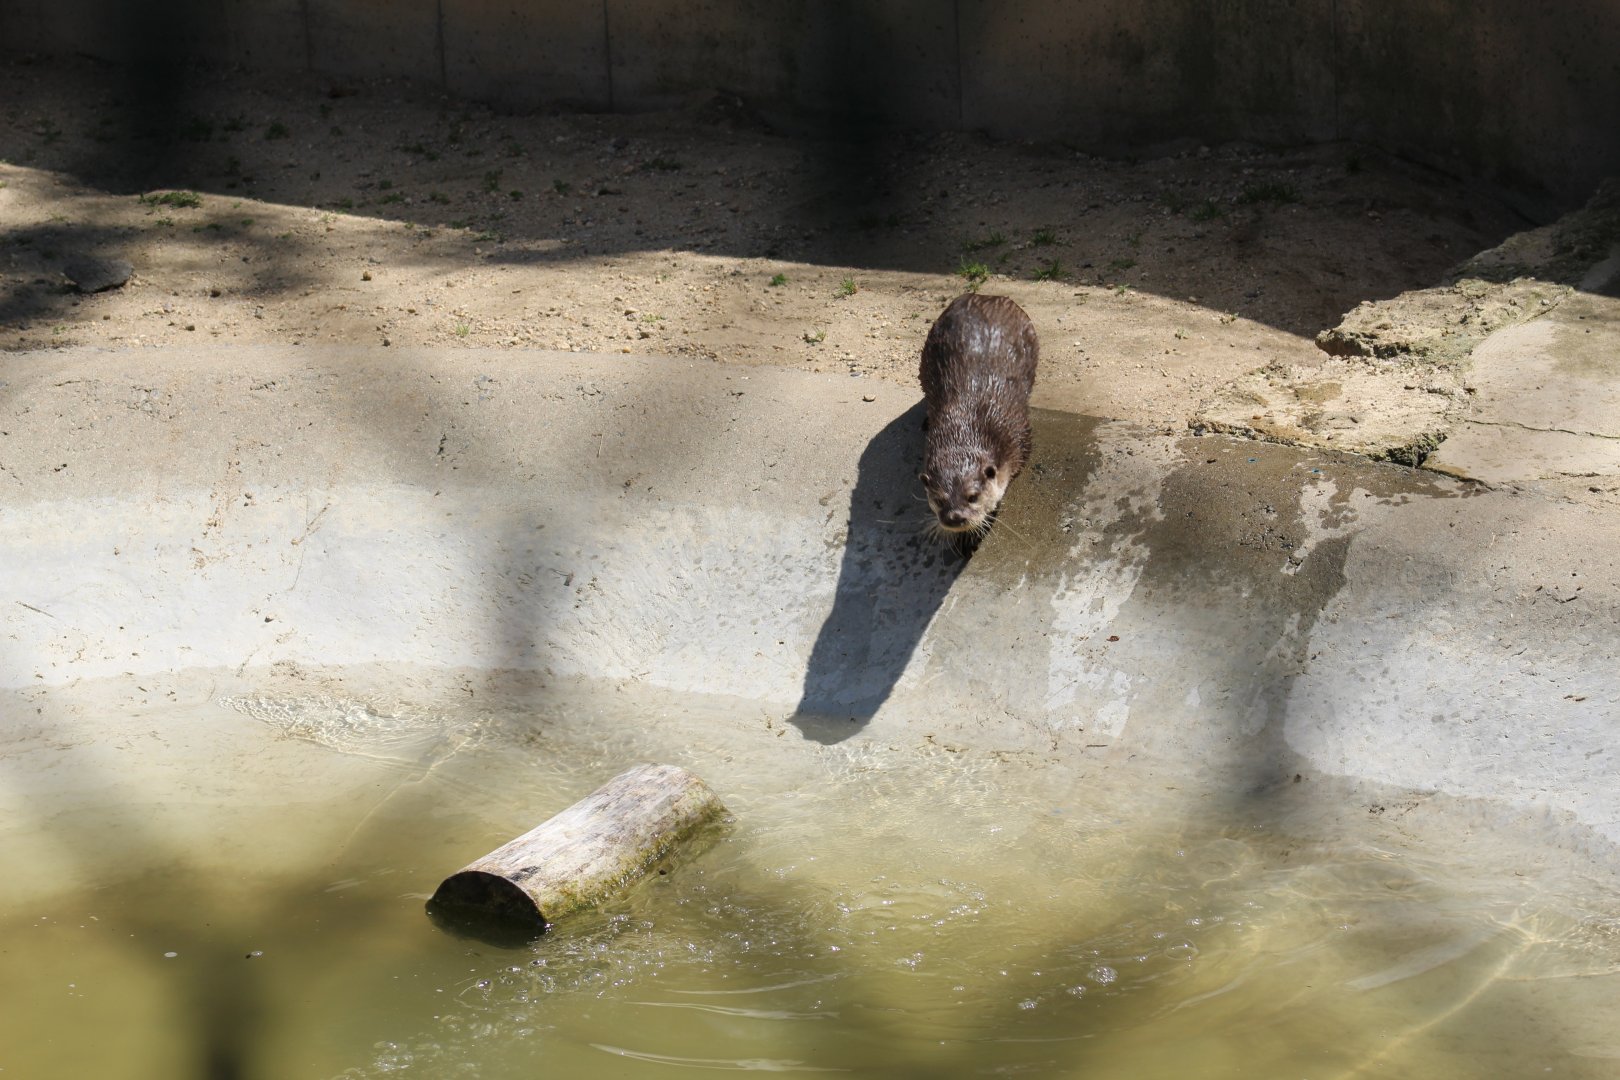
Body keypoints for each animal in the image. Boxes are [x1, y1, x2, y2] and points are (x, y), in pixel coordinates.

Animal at [918, 293, 1038, 540]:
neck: (966, 425)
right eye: (939, 500)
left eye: (972, 496)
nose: (955, 517)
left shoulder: (1019, 433)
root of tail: (985, 296)